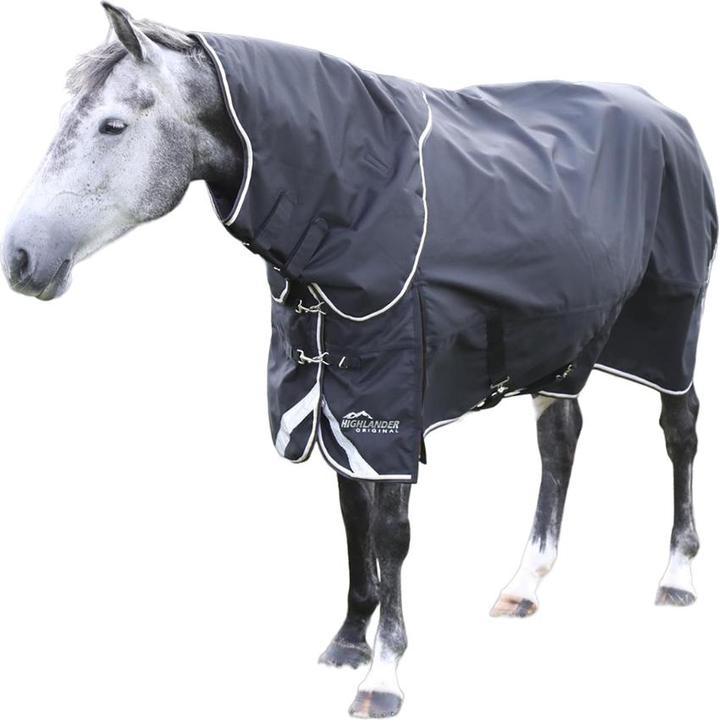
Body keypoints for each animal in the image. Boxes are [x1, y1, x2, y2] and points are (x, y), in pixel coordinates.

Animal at [2, 5, 716, 718]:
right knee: (560, 440)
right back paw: (526, 583)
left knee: (678, 430)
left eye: (112, 125)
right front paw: (349, 639)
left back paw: (676, 573)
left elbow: (392, 532)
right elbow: (354, 518)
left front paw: (384, 673)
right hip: (564, 339)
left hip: (668, 323)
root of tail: (665, 115)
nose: (20, 258)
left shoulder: (389, 403)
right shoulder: (331, 392)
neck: (357, 194)